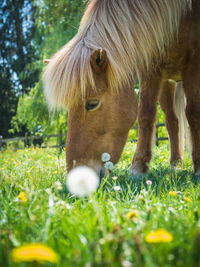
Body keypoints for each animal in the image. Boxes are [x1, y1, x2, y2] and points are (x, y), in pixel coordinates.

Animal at [43, 1, 198, 179]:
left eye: (92, 104)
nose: (77, 176)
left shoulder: (193, 64)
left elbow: (193, 113)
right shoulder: (150, 67)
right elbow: (146, 114)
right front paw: (138, 167)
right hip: (167, 82)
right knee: (172, 121)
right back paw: (175, 164)